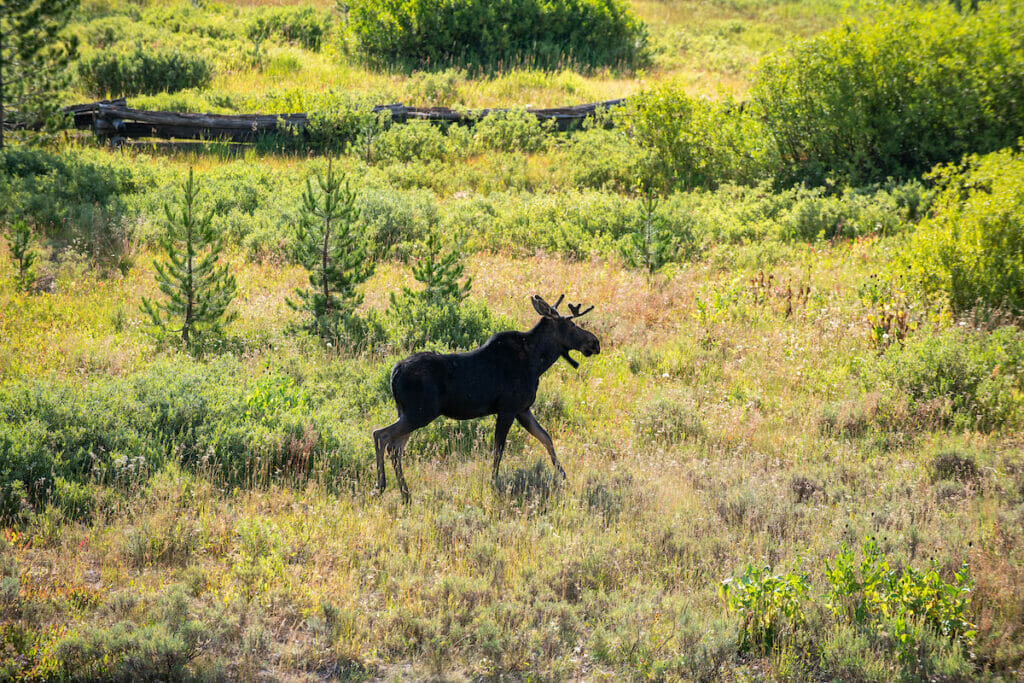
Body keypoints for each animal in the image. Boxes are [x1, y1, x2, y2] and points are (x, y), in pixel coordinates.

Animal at [374, 294, 598, 501]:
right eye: (571, 324)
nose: (595, 342)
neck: (538, 362)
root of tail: (394, 373)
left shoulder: (523, 409)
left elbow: (546, 438)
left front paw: (565, 478)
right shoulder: (508, 409)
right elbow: (498, 450)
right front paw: (493, 484)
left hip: (408, 413)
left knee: (395, 448)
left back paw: (405, 494)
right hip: (420, 413)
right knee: (381, 435)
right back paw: (381, 486)